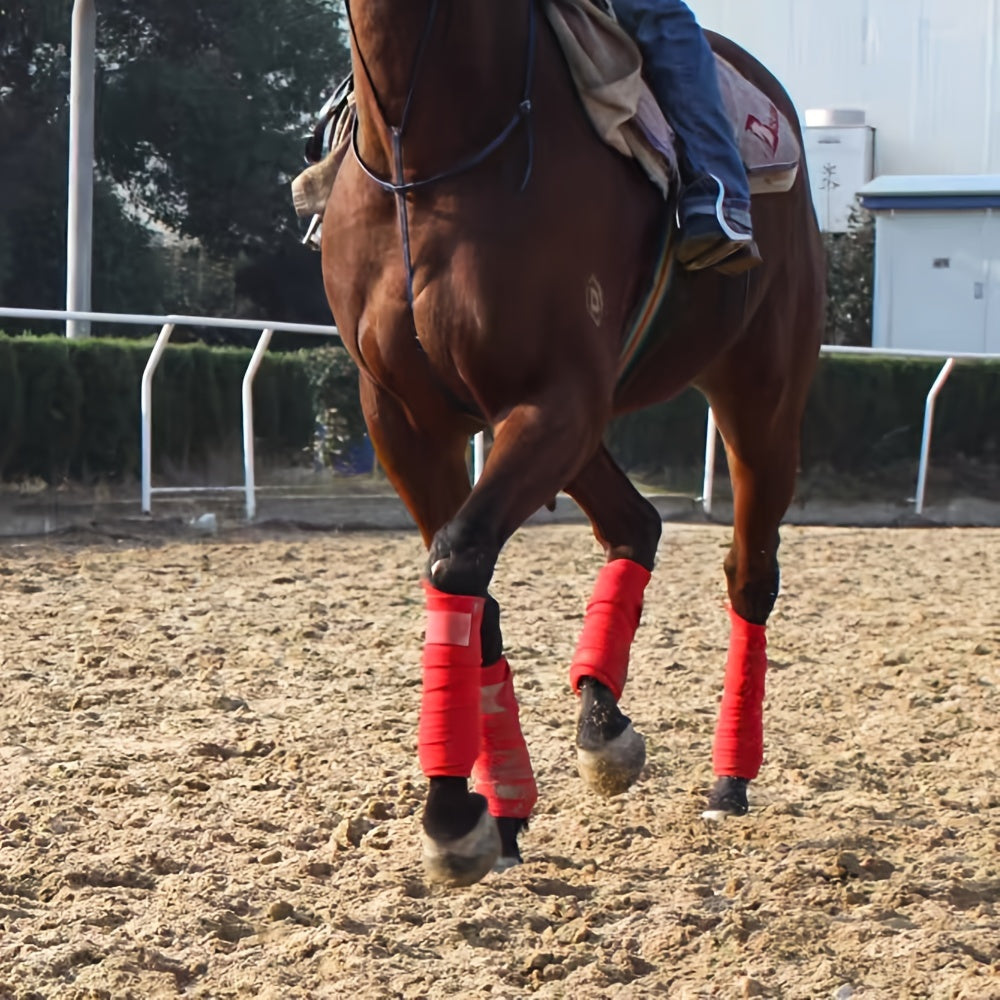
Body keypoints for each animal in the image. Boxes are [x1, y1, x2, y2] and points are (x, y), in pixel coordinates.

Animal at [319, 0, 824, 886]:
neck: (432, 151)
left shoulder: (555, 394)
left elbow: (459, 559)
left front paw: (451, 814)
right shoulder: (405, 417)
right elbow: (468, 585)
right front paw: (499, 808)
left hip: (759, 395)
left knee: (749, 575)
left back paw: (729, 778)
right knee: (635, 523)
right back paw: (603, 726)